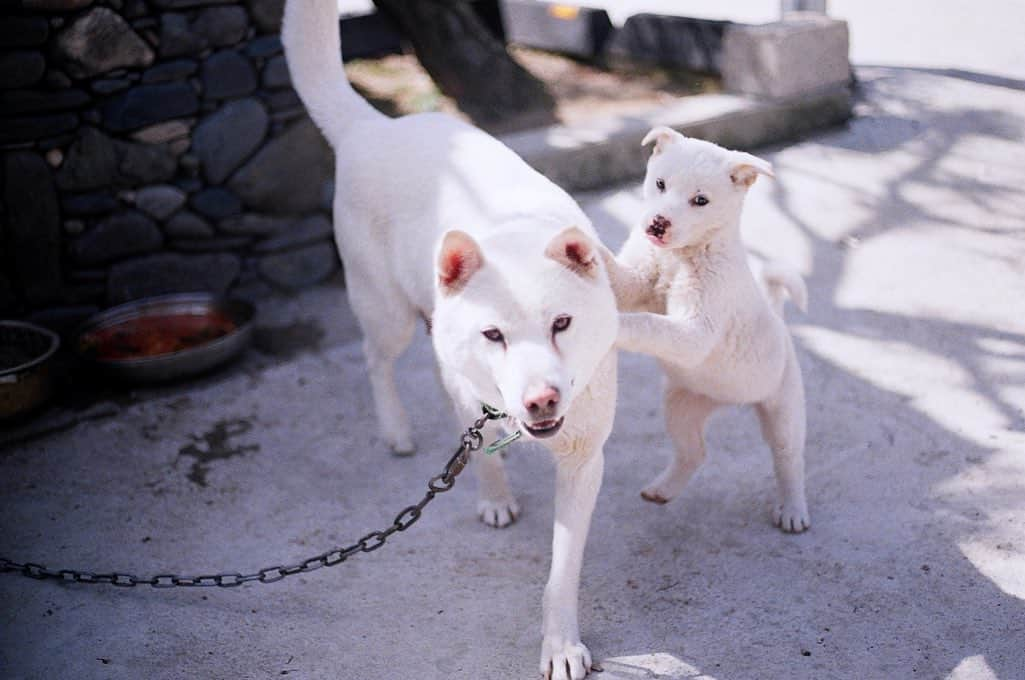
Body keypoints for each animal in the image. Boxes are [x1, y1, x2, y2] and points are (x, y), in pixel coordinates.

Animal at [280, 2, 615, 676]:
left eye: (562, 324)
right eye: (495, 334)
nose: (541, 401)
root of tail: (373, 129)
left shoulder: (583, 458)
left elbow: (561, 573)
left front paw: (561, 644)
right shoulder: (473, 385)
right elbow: (475, 442)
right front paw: (493, 496)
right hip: (387, 313)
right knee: (377, 360)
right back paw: (397, 430)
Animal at [598, 126, 807, 533]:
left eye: (700, 200)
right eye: (660, 183)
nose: (657, 223)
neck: (681, 255)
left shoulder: (695, 331)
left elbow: (648, 322)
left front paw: (616, 325)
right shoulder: (637, 279)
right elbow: (619, 275)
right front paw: (584, 247)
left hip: (784, 411)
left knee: (788, 460)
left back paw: (793, 510)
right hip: (681, 405)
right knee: (694, 453)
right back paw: (662, 490)